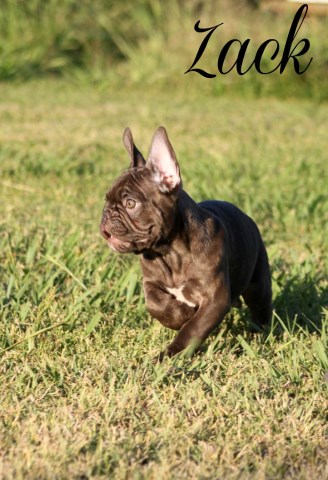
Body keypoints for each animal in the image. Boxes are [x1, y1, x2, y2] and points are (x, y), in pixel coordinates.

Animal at [99, 125, 272, 358]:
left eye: (130, 203)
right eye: (106, 201)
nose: (107, 215)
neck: (170, 252)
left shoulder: (215, 298)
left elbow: (193, 328)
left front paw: (171, 354)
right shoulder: (151, 283)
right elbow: (155, 304)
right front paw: (180, 315)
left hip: (258, 284)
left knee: (261, 308)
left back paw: (260, 335)